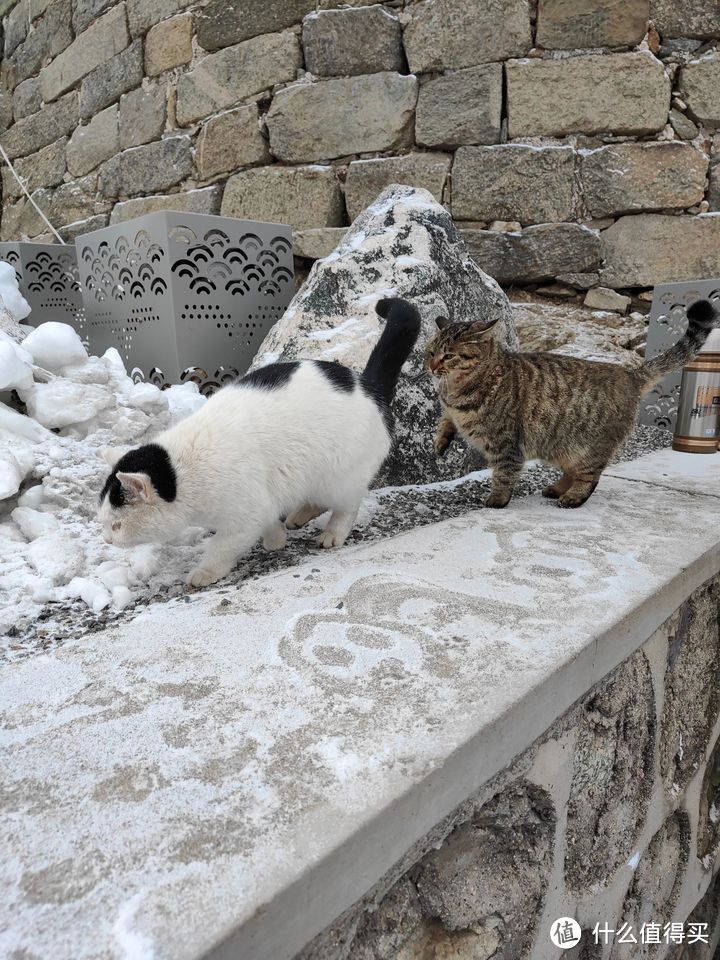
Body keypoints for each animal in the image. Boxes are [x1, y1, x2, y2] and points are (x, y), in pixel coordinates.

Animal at [98, 298, 420, 584]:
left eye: (116, 524)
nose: (106, 539)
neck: (183, 471)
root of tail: (370, 387)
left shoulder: (245, 515)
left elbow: (222, 547)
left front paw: (205, 572)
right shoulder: (262, 502)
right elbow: (268, 522)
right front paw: (276, 539)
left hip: (339, 476)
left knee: (347, 505)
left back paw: (332, 533)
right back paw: (299, 516)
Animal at [428, 300, 716, 510]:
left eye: (449, 356)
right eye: (431, 352)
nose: (430, 366)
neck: (456, 390)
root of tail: (629, 374)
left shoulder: (507, 445)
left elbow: (503, 474)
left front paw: (497, 500)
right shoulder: (451, 411)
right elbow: (445, 422)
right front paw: (440, 442)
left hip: (591, 447)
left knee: (590, 476)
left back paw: (573, 497)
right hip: (562, 446)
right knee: (573, 471)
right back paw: (556, 488)